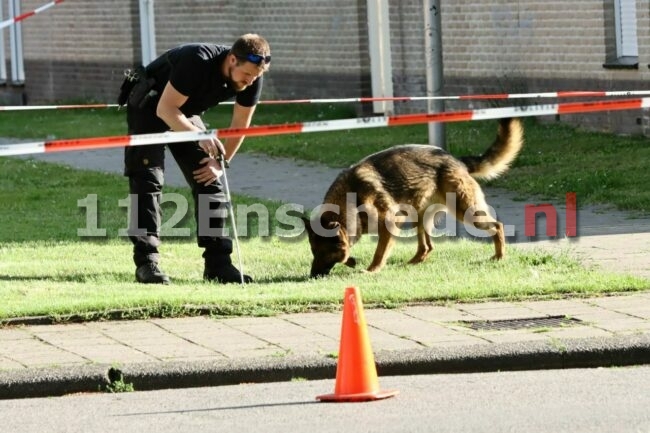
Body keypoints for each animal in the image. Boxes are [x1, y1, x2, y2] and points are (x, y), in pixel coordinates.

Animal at [302, 116, 520, 276]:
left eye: (323, 252)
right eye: (313, 251)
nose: (313, 275)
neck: (352, 200)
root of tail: (455, 160)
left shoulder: (390, 222)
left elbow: (379, 252)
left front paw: (372, 269)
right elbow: (349, 249)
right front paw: (352, 261)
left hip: (465, 210)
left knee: (497, 226)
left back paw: (499, 256)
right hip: (419, 215)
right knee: (426, 247)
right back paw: (412, 263)